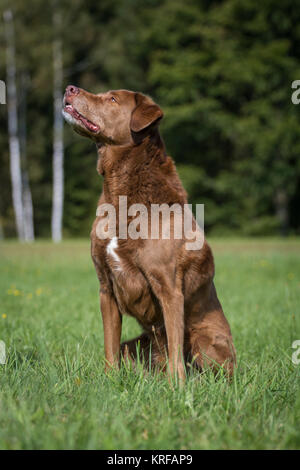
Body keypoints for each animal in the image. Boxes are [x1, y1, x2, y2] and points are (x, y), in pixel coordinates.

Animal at [63, 85, 237, 382]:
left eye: (112, 98)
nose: (69, 88)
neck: (119, 192)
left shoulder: (169, 288)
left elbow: (176, 349)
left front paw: (177, 388)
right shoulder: (105, 287)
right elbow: (110, 345)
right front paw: (109, 381)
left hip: (205, 340)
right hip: (138, 344)